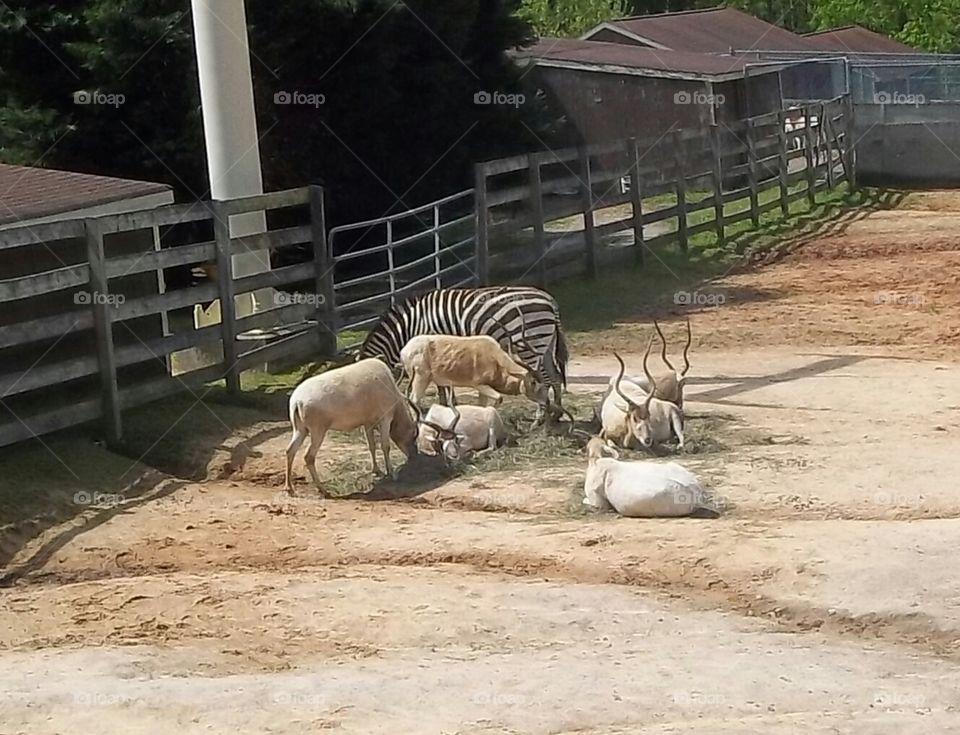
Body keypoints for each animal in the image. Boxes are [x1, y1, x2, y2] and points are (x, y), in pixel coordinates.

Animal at [359, 286, 569, 415]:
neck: (411, 322)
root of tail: (549, 300)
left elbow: (443, 386)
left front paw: (447, 405)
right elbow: (442, 385)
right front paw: (446, 405)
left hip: (532, 344)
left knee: (544, 379)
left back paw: (541, 417)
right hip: (546, 343)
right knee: (555, 377)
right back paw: (556, 415)